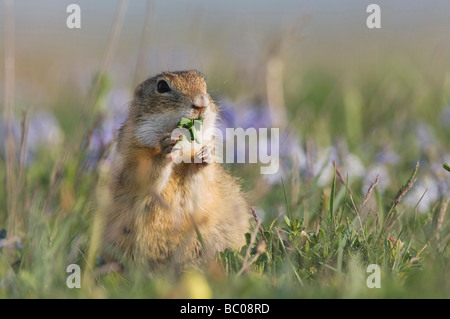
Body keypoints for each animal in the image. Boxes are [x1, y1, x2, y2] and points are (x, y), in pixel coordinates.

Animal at [101, 70, 250, 270]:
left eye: (203, 84)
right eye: (162, 86)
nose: (201, 102)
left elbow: (201, 183)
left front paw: (206, 154)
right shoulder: (133, 155)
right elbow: (146, 176)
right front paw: (167, 149)